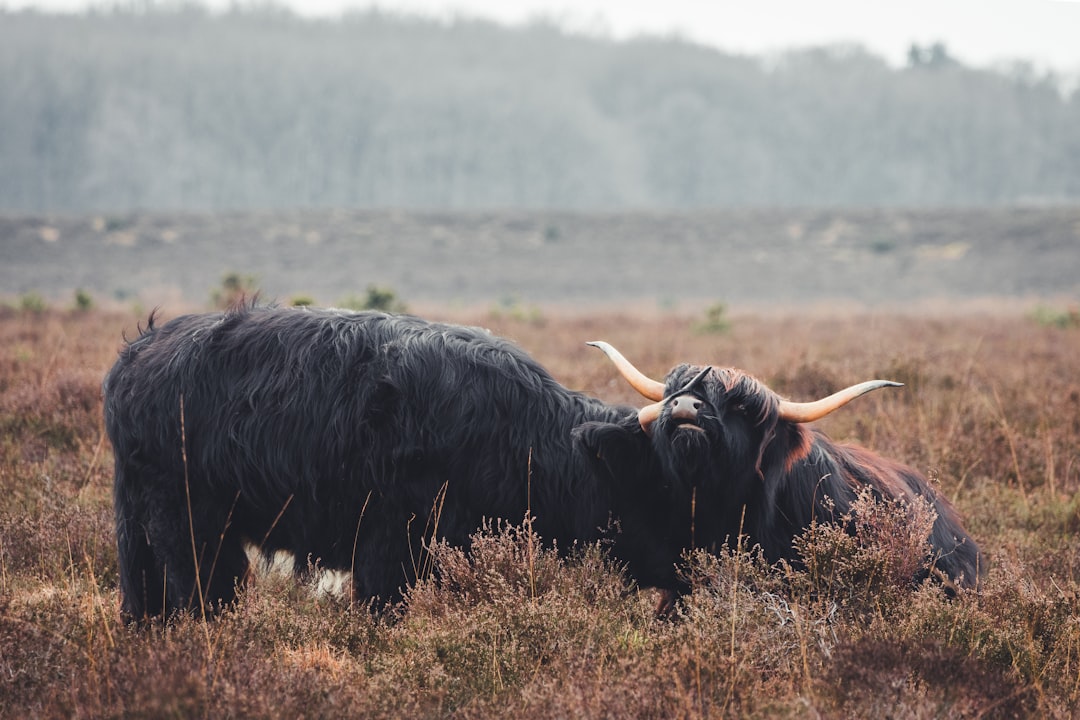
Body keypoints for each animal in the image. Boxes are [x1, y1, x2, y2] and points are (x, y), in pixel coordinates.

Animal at [103, 304, 673, 621]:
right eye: (665, 483)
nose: (688, 578)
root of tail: (141, 350)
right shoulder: (389, 547)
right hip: (188, 526)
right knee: (200, 596)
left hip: (139, 530)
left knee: (144, 604)